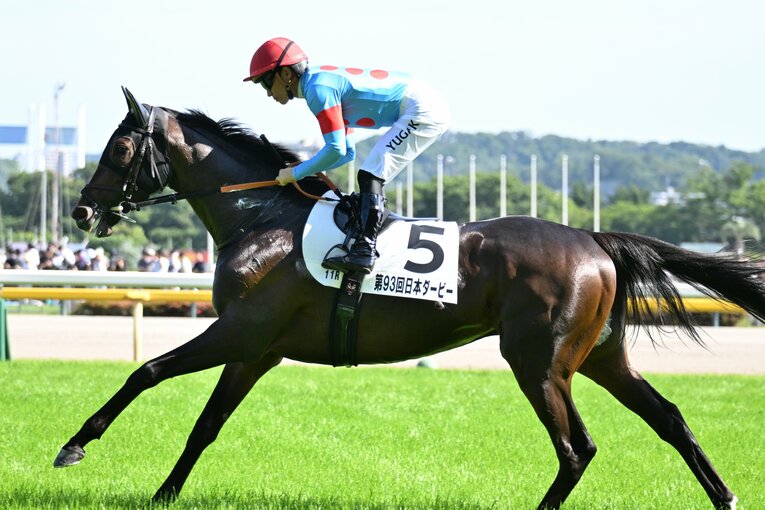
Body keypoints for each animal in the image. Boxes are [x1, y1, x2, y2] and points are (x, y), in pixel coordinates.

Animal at [57, 87, 765, 509]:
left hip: (539, 361)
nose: (82, 209)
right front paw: (164, 494)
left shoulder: (241, 331)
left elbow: (146, 372)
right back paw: (725, 495)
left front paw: (75, 445)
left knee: (577, 449)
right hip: (599, 355)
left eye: (121, 146)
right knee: (668, 417)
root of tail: (593, 239)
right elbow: (207, 423)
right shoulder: (257, 349)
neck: (260, 219)